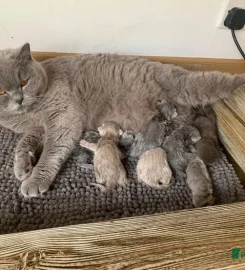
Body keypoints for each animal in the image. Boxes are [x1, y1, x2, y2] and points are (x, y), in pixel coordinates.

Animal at [0, 43, 245, 196]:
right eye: (2, 92)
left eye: (24, 82)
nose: (19, 99)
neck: (31, 112)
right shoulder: (37, 129)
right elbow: (25, 142)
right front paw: (22, 166)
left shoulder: (63, 118)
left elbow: (51, 152)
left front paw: (34, 181)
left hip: (184, 83)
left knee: (213, 81)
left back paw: (240, 80)